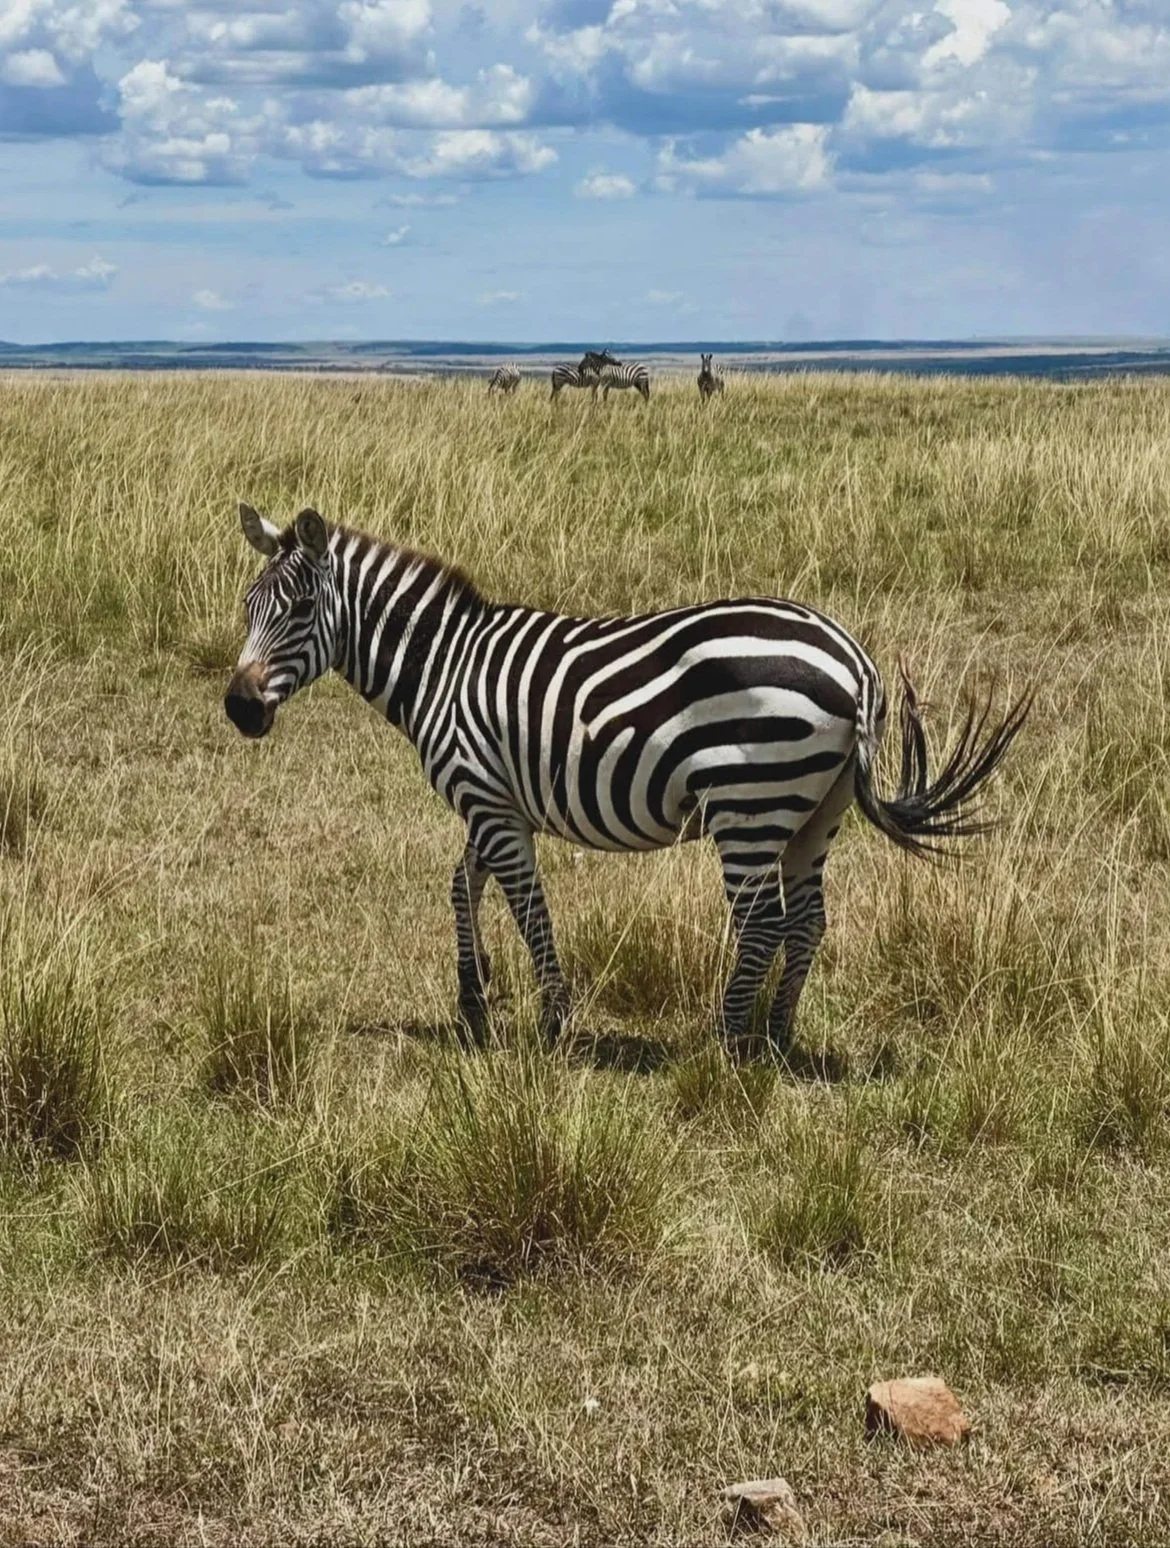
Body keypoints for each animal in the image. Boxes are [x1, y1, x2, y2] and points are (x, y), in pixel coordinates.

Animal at [225, 504, 1029, 1058]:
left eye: (300, 609)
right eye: (248, 606)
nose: (238, 709)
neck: (443, 666)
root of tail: (855, 661)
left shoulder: (487, 798)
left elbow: (529, 909)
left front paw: (552, 1020)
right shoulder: (492, 800)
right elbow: (462, 886)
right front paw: (474, 1000)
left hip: (749, 804)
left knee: (763, 923)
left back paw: (724, 1047)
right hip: (815, 810)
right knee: (806, 922)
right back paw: (775, 1037)